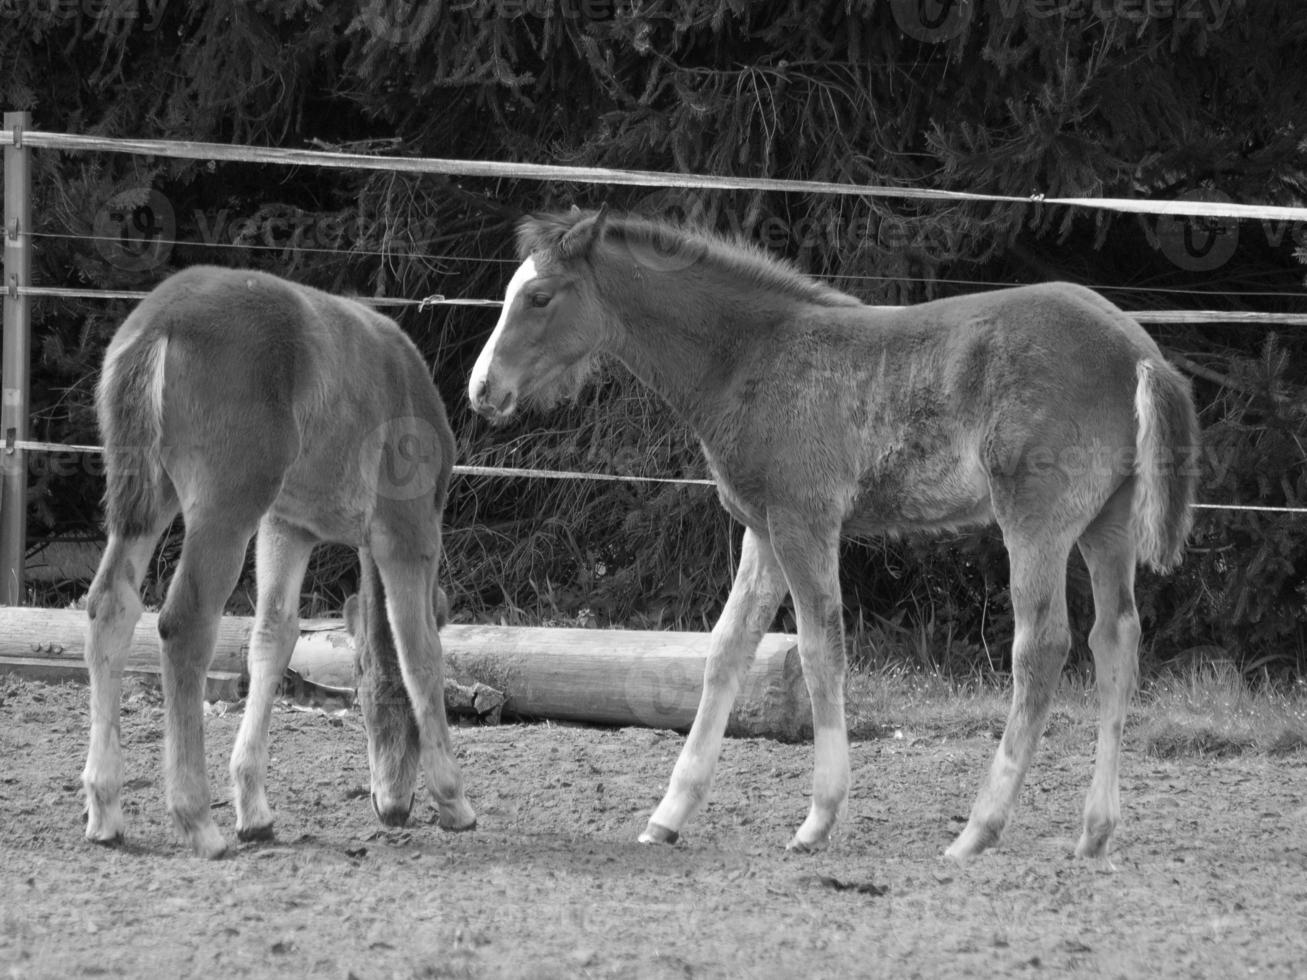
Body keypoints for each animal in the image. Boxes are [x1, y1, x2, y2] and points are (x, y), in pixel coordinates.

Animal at [81, 269, 473, 857]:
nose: (392, 809)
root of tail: (159, 322)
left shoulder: (288, 525)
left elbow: (274, 637)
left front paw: (255, 809)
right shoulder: (408, 531)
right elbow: (419, 652)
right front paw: (454, 800)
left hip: (149, 496)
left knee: (111, 605)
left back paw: (105, 810)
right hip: (226, 503)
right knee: (184, 623)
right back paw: (197, 820)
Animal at [467, 211, 1197, 862]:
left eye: (538, 296)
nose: (482, 389)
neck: (750, 355)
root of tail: (1139, 350)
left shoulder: (804, 520)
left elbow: (822, 651)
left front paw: (816, 821)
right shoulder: (762, 531)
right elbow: (725, 652)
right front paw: (666, 817)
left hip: (1034, 522)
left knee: (1041, 647)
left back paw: (975, 833)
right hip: (1106, 524)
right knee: (1116, 640)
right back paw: (1094, 833)